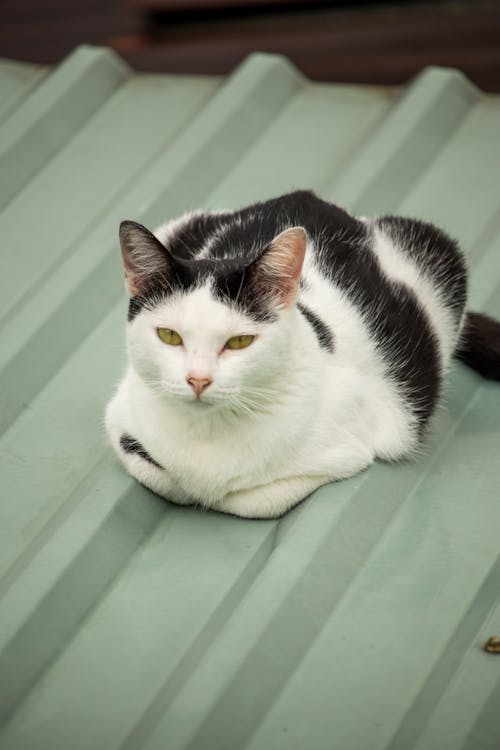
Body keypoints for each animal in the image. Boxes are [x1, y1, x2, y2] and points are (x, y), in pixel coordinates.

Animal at [103, 191, 498, 520]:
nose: (198, 380)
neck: (207, 435)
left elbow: (254, 499)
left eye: (239, 342)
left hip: (438, 256)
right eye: (169, 336)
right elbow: (161, 474)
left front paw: (216, 493)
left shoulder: (362, 441)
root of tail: (308, 198)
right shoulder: (120, 417)